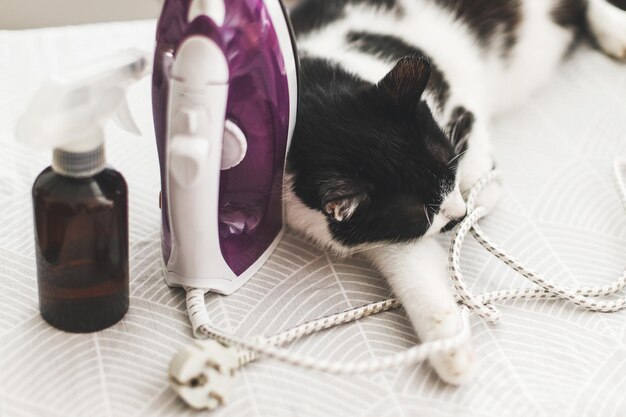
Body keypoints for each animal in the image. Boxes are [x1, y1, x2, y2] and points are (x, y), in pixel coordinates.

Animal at [282, 0, 624, 384]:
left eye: (448, 166)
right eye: (423, 212)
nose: (459, 215)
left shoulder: (456, 100)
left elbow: (472, 141)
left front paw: (481, 189)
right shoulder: (384, 235)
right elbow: (416, 276)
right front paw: (450, 349)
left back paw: (616, 30)